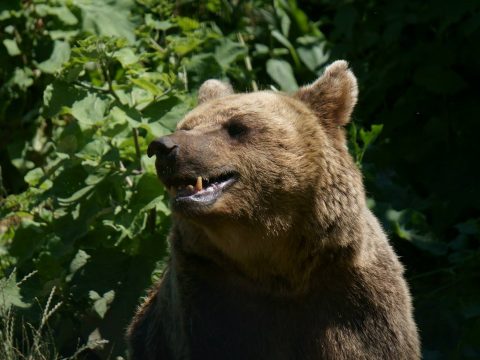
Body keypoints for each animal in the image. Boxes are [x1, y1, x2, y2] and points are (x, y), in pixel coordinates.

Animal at [126, 60, 420, 358]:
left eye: (236, 127)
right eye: (185, 126)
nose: (162, 147)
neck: (277, 267)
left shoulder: (355, 300)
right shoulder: (204, 298)